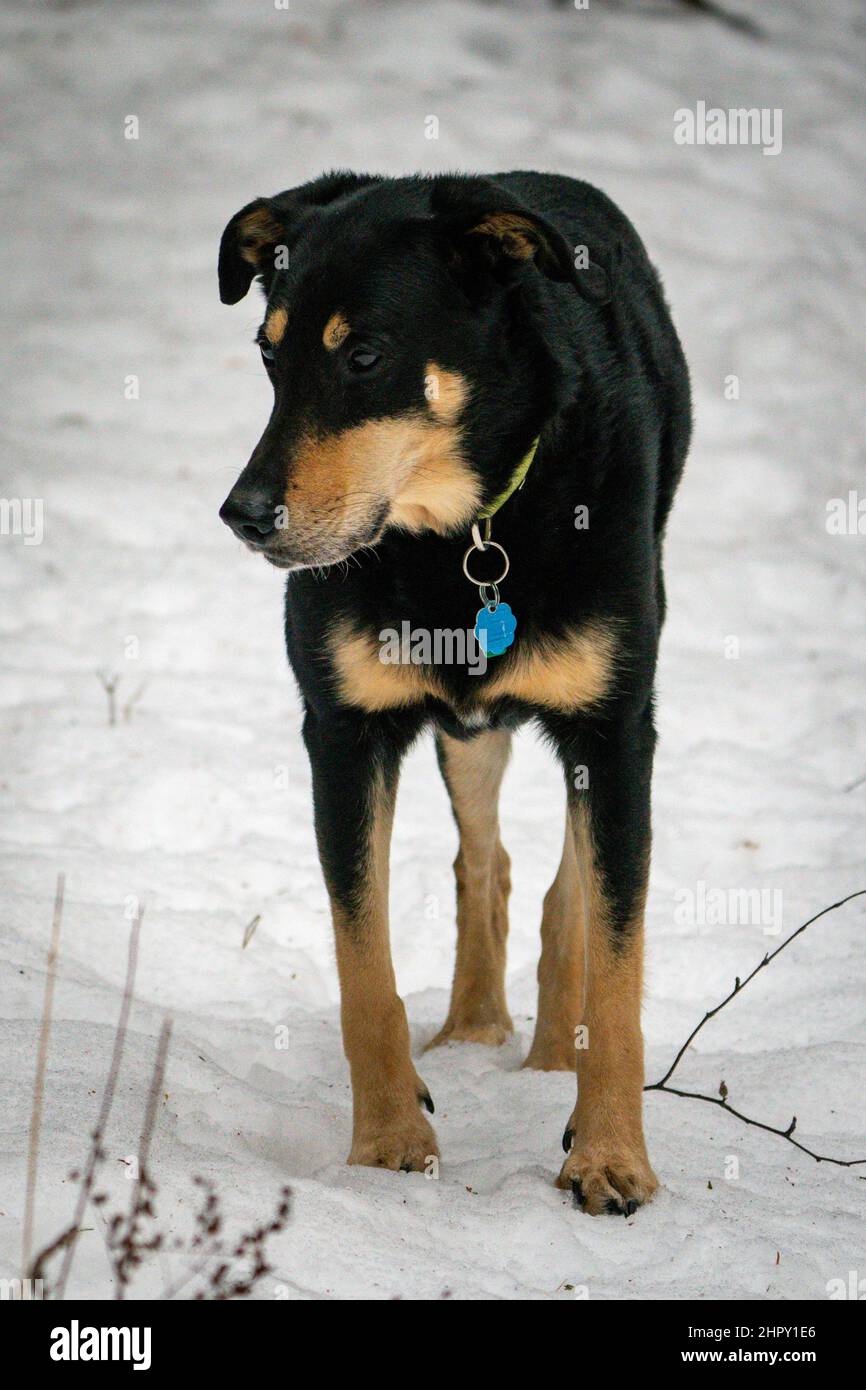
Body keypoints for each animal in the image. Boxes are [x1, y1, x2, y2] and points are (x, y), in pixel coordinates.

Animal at [216, 170, 692, 1217]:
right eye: (268, 356)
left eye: (363, 355)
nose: (243, 515)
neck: (463, 534)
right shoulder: (343, 731)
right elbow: (364, 968)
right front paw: (390, 1141)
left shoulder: (615, 729)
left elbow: (620, 969)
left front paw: (611, 1157)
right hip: (464, 728)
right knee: (488, 857)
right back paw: (474, 1028)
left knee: (569, 887)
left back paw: (553, 1049)